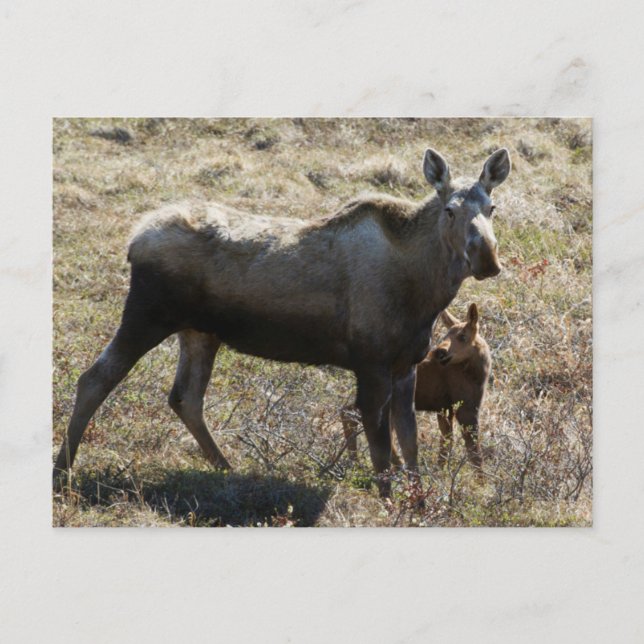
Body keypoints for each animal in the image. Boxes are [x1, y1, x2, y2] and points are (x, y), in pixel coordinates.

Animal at [54, 147, 510, 497]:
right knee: (94, 379)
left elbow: (410, 444)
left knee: (185, 397)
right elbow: (382, 451)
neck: (423, 291)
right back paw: (63, 471)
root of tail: (134, 239)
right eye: (449, 210)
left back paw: (227, 468)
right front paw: (390, 504)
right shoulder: (371, 364)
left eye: (492, 208)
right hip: (147, 315)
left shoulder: (406, 365)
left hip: (199, 332)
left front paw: (418, 503)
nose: (486, 258)